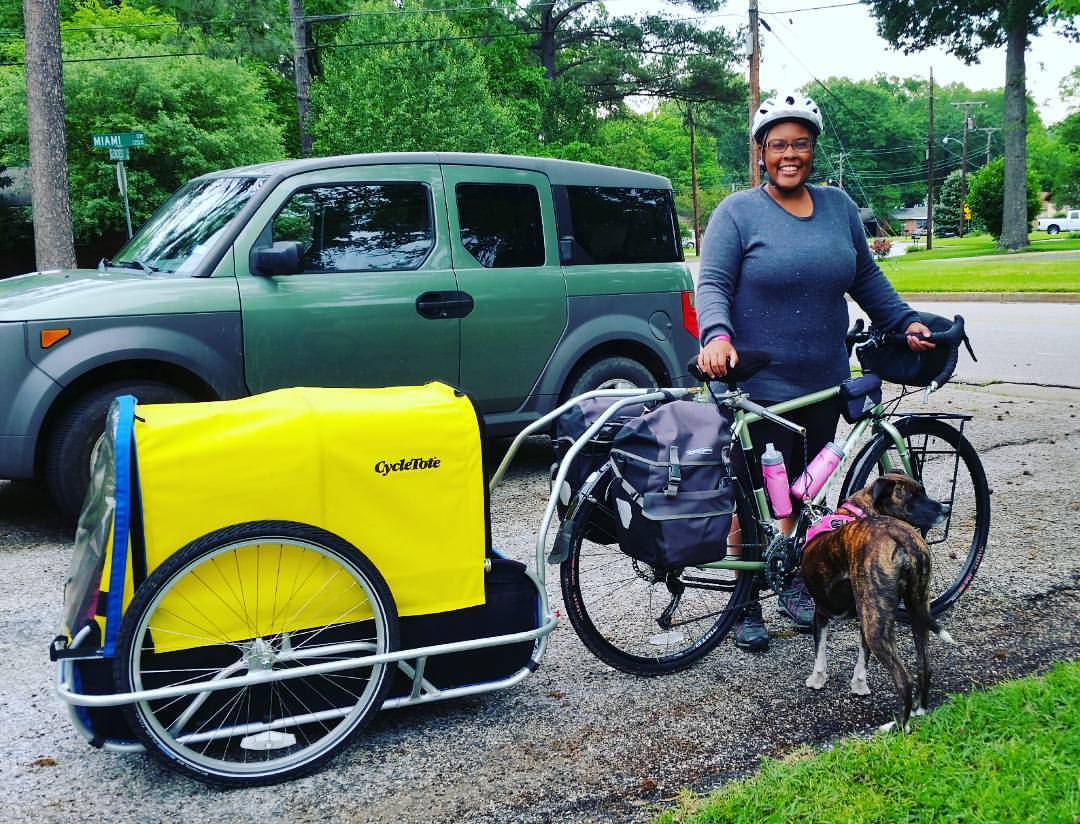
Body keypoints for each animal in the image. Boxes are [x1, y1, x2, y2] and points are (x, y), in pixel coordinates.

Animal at [803, 473, 954, 730]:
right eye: (914, 497)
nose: (946, 508)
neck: (857, 511)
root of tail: (901, 535)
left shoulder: (822, 612)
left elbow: (820, 652)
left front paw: (817, 680)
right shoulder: (863, 618)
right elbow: (862, 658)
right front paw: (859, 685)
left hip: (877, 627)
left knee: (904, 680)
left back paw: (898, 727)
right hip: (913, 611)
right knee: (925, 666)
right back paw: (920, 711)